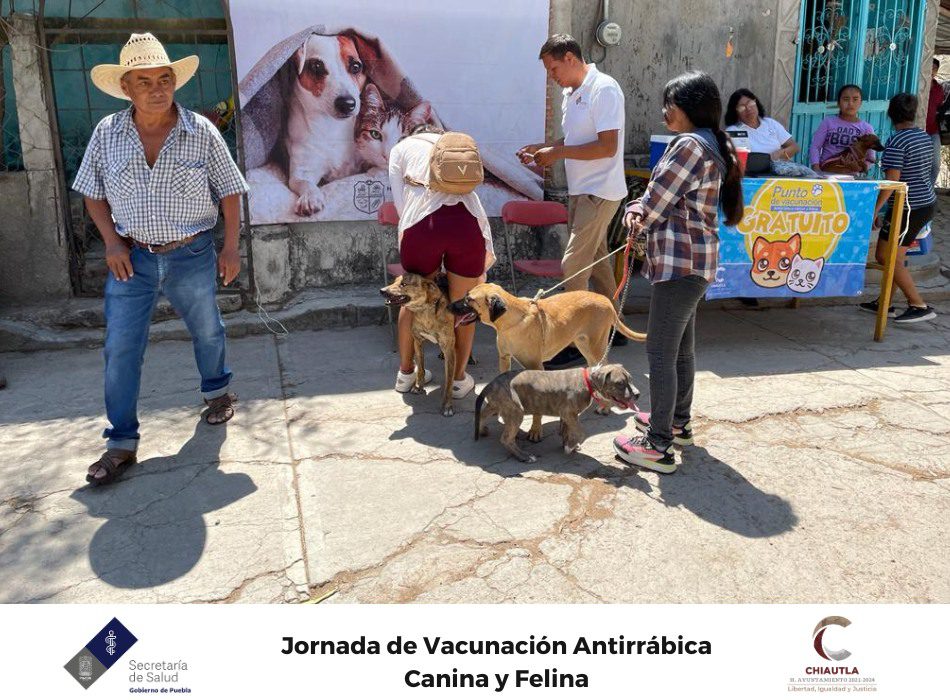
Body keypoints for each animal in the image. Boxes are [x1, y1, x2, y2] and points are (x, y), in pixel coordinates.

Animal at [382, 274, 460, 416]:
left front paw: (447, 405)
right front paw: (418, 386)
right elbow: (420, 369)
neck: (425, 311)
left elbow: (449, 382)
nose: (382, 291)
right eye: (394, 281)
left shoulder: (449, 349)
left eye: (403, 284)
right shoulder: (417, 342)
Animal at [452, 284, 648, 438]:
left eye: (469, 300)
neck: (512, 321)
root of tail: (605, 300)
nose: (449, 306)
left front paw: (535, 430)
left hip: (595, 346)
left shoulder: (535, 366)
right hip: (584, 345)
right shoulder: (504, 359)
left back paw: (606, 406)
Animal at [474, 364, 640, 462]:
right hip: (515, 411)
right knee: (506, 439)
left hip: (497, 404)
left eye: (631, 380)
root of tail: (491, 383)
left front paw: (568, 443)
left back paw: (482, 430)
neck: (588, 381)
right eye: (620, 384)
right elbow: (580, 432)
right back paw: (524, 456)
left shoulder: (567, 416)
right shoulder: (569, 414)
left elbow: (567, 431)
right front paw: (570, 447)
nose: (638, 394)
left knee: (482, 414)